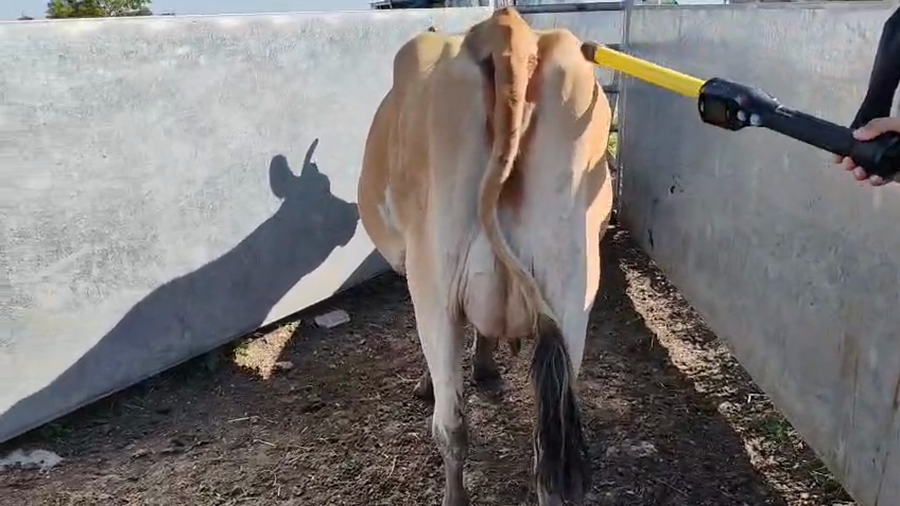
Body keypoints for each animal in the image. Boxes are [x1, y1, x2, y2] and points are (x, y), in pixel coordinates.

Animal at [357, 8, 614, 506]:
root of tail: (505, 29)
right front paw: (487, 366)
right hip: (573, 288)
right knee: (549, 442)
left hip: (434, 281)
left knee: (451, 427)